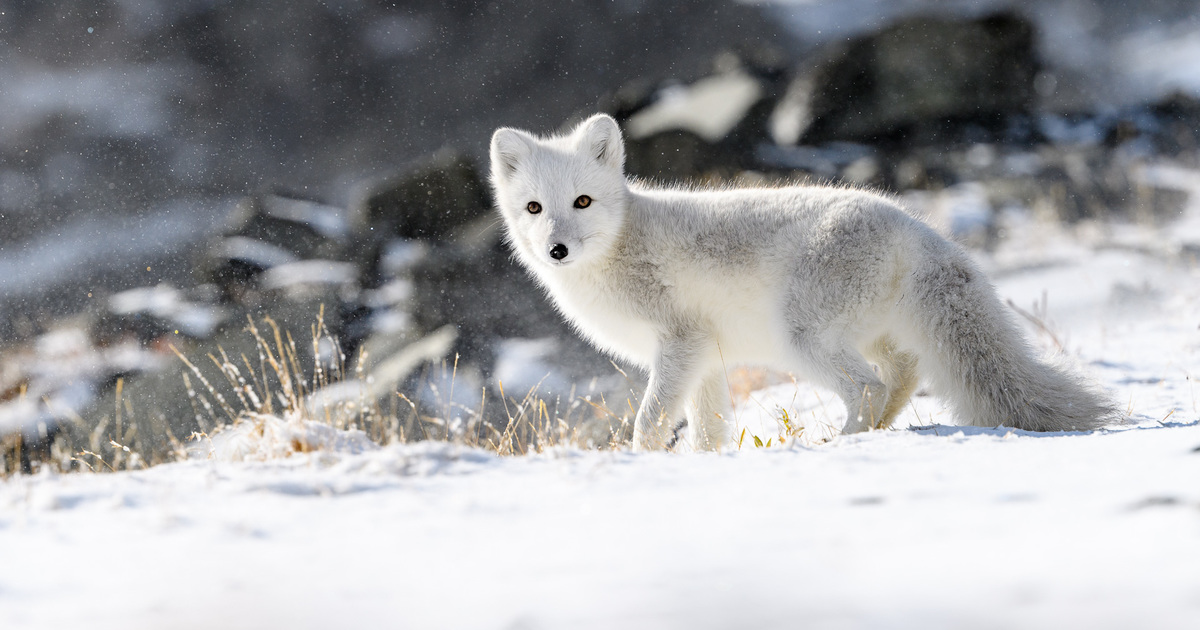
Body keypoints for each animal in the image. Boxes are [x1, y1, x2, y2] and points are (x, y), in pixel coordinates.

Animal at [484, 111, 1113, 446]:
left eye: (583, 201)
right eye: (535, 207)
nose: (557, 249)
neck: (620, 245)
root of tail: (915, 227)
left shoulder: (679, 345)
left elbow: (649, 419)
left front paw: (641, 461)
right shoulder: (705, 359)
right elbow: (709, 429)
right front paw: (704, 465)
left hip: (803, 338)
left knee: (869, 386)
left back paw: (847, 440)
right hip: (865, 335)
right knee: (900, 376)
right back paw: (876, 431)